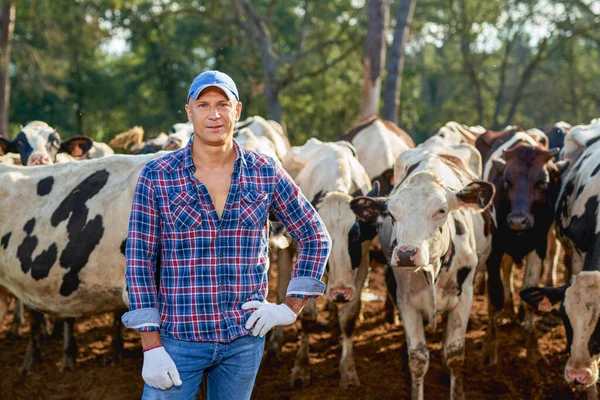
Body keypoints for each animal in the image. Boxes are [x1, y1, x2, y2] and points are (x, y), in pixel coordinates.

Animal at [350, 138, 494, 400]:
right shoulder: (406, 301)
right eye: (392, 214)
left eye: (442, 210)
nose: (406, 253)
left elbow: (454, 354)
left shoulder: (465, 297)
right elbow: (417, 358)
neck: (433, 270)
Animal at [476, 127, 568, 366]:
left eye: (542, 182)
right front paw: (489, 349)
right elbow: (495, 298)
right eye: (507, 181)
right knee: (506, 272)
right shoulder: (494, 251)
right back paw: (509, 310)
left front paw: (533, 350)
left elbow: (530, 299)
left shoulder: (539, 249)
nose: (518, 221)